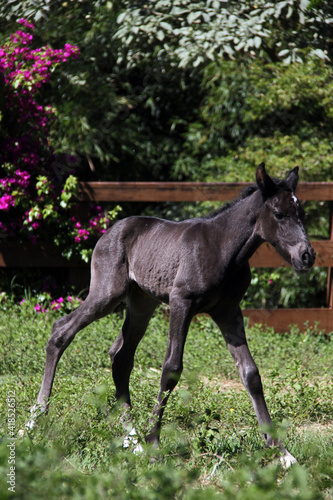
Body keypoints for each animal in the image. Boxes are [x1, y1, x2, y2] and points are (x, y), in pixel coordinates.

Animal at [29, 164, 314, 464]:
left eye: (301, 214)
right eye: (279, 214)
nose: (307, 256)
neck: (224, 248)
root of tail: (110, 232)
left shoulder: (227, 310)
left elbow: (251, 373)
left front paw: (281, 451)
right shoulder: (181, 303)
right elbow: (171, 369)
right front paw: (154, 444)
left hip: (141, 305)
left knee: (120, 356)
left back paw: (132, 439)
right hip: (106, 295)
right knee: (61, 331)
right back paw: (35, 419)